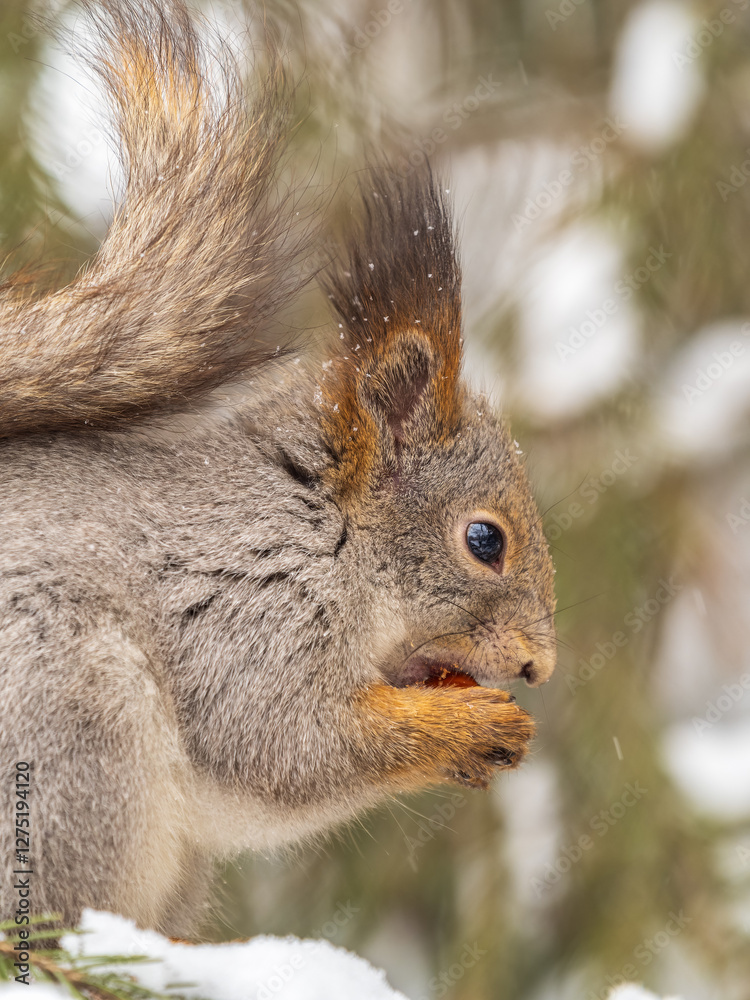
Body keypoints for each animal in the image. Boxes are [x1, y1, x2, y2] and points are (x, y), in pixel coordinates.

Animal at [0, 0, 556, 939]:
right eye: (485, 541)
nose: (538, 668)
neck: (322, 528)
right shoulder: (247, 614)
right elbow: (286, 745)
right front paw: (458, 727)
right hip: (78, 730)